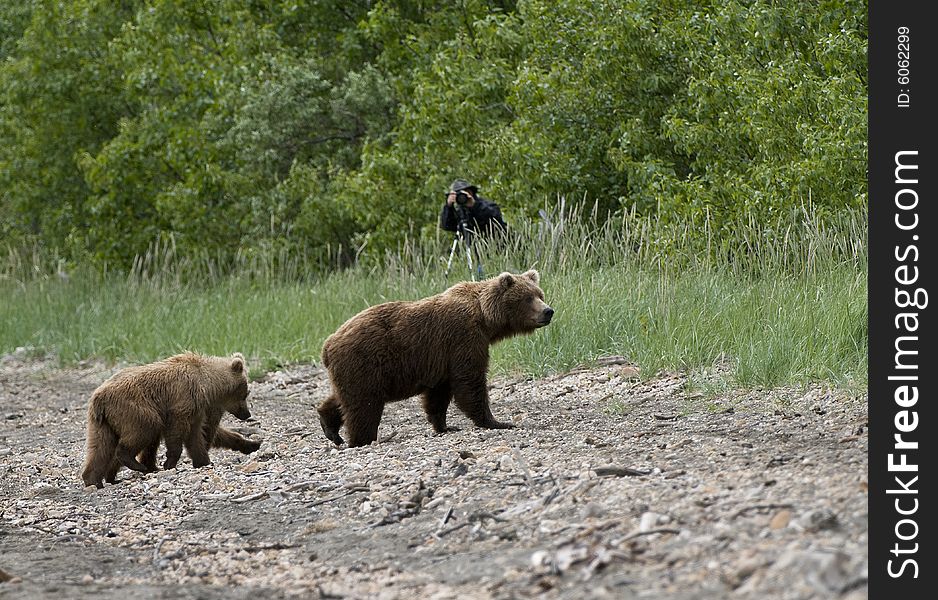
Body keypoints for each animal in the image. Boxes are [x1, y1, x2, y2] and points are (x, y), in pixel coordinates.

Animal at [318, 270, 552, 446]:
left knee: (344, 398)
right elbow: (470, 381)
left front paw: (445, 425)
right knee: (364, 405)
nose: (548, 311)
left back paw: (330, 427)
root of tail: (327, 344)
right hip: (365, 361)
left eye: (540, 294)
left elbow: (439, 393)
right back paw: (362, 439)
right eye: (527, 298)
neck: (485, 318)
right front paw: (495, 421)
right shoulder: (462, 337)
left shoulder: (443, 358)